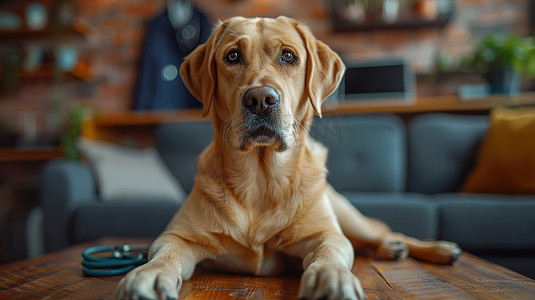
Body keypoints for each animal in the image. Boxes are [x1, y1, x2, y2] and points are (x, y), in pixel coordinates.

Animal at [116, 16, 460, 300]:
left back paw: (432, 248)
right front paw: (149, 275)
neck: (260, 180)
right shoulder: (176, 236)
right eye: (232, 56)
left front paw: (331, 277)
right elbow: (165, 255)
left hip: (348, 217)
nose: (260, 99)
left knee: (384, 232)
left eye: (288, 56)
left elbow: (330, 252)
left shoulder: (326, 234)